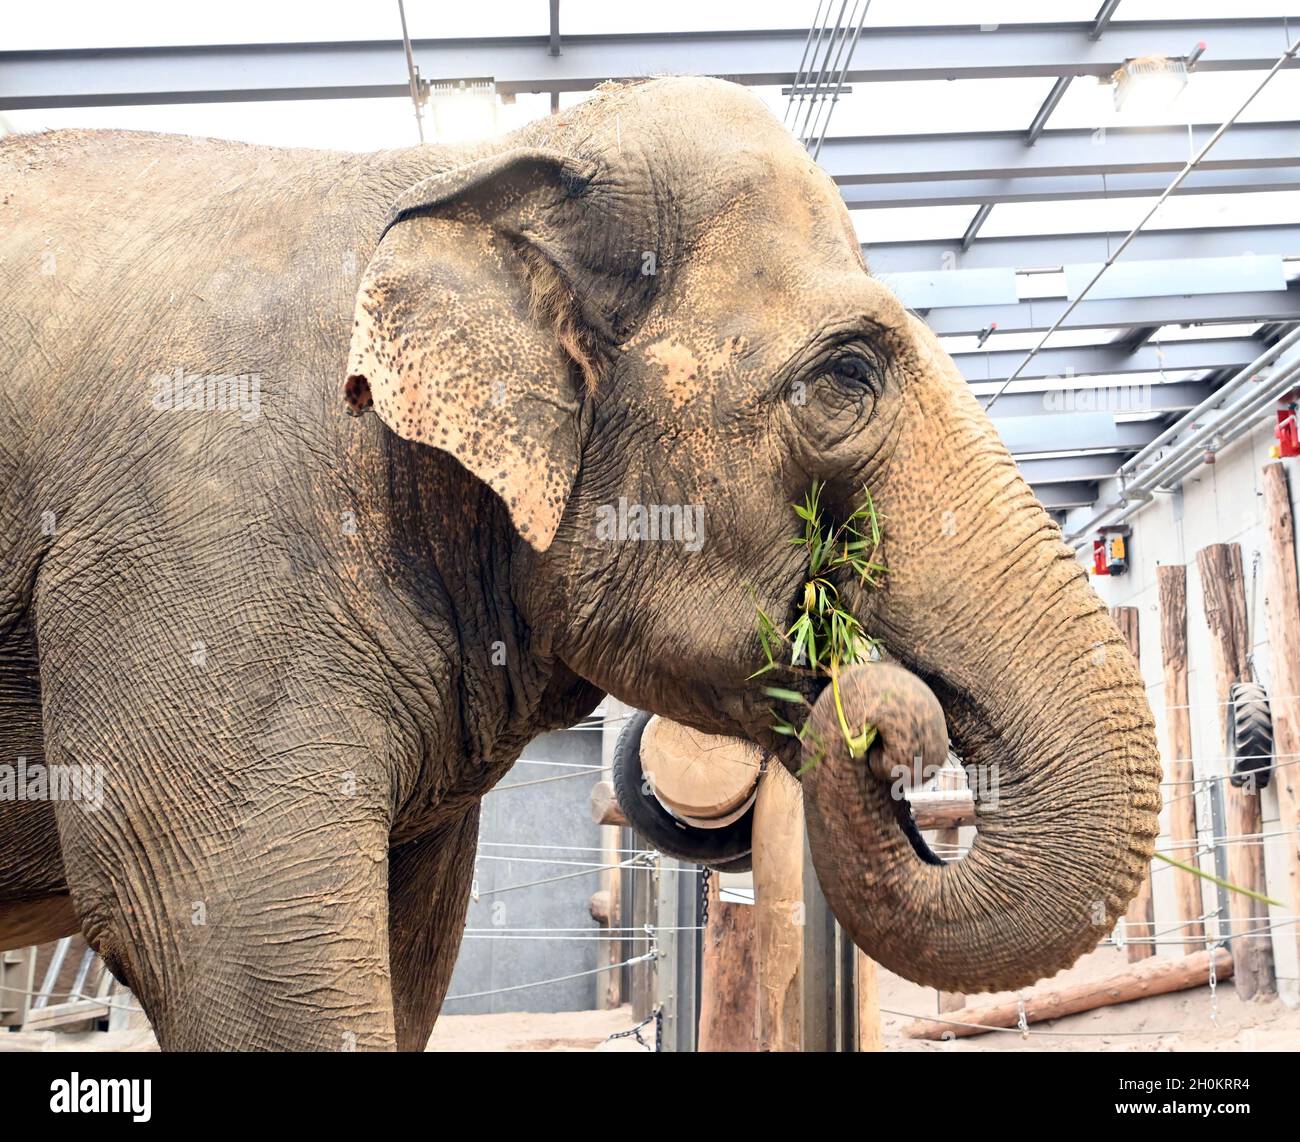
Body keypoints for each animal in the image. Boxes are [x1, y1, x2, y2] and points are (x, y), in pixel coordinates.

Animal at [0, 76, 1159, 1050]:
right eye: (846, 374)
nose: (887, 718)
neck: (478, 163)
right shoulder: (201, 542)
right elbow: (228, 937)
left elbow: (409, 948)